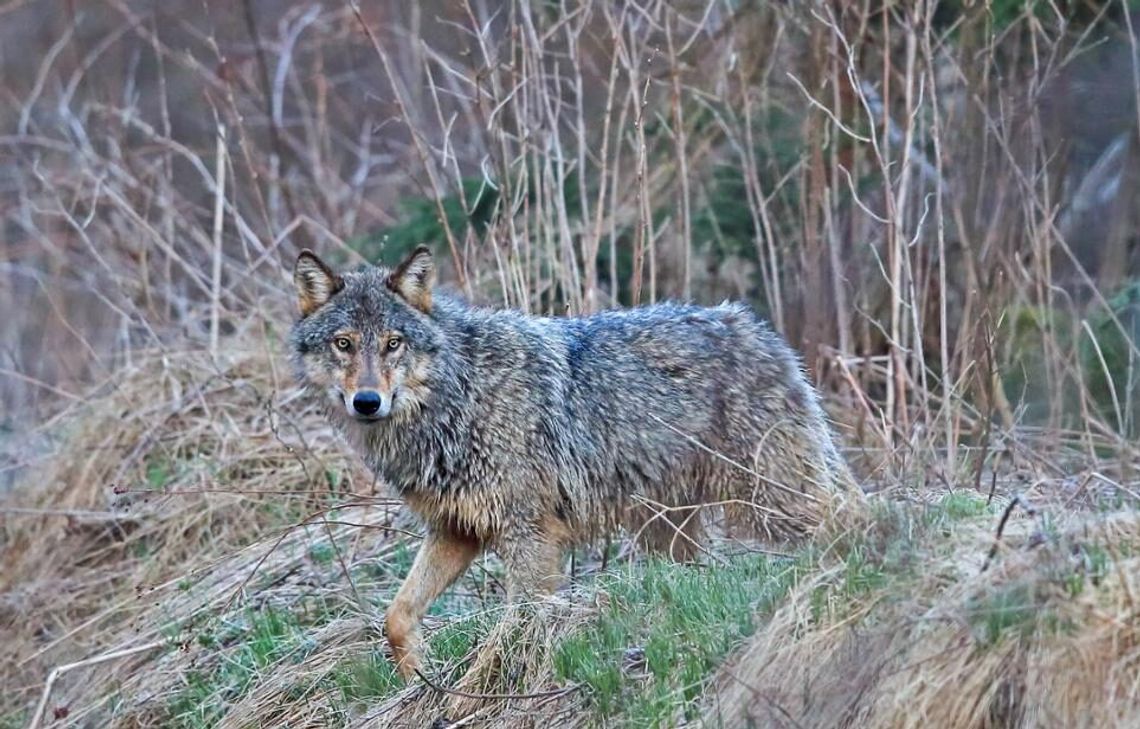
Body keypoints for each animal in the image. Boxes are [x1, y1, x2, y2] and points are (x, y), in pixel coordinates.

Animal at [287, 246, 857, 679]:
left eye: (393, 344)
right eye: (343, 344)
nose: (367, 402)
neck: (460, 396)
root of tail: (756, 326)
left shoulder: (528, 535)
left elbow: (520, 623)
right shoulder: (456, 530)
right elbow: (397, 617)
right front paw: (419, 679)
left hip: (767, 502)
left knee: (846, 515)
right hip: (668, 531)